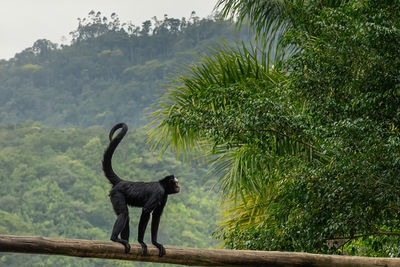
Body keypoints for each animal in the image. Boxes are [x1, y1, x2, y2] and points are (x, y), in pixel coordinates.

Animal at [103, 122, 180, 256]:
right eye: (176, 183)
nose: (179, 186)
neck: (161, 185)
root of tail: (122, 181)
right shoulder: (159, 192)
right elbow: (146, 211)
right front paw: (141, 242)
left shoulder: (164, 196)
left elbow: (156, 216)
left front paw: (155, 243)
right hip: (116, 194)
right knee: (124, 213)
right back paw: (115, 238)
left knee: (126, 216)